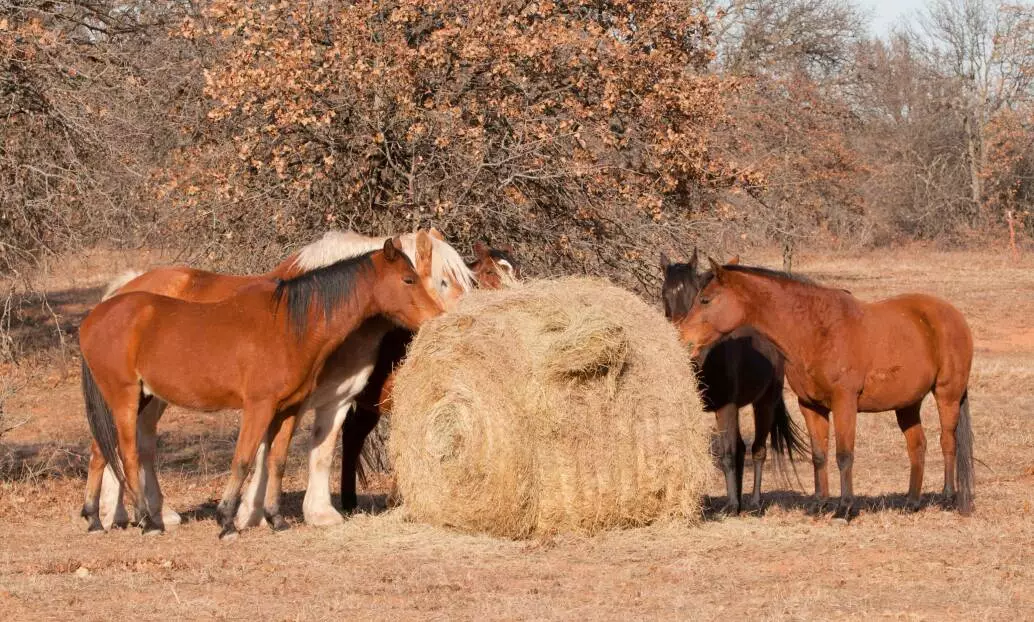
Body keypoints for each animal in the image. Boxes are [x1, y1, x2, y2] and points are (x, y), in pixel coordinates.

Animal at [94, 229, 473, 530]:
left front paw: (318, 513)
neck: (313, 313)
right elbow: (266, 454)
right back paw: (121, 514)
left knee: (135, 442)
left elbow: (320, 452)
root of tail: (123, 288)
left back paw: (148, 512)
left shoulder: (335, 401)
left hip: (152, 395)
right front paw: (251, 513)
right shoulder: (279, 401)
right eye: (441, 281)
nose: (456, 321)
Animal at [661, 249, 808, 515]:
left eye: (696, 294)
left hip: (765, 403)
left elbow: (727, 453)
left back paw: (753, 503)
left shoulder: (725, 408)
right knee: (742, 447)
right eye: (664, 293)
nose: (684, 344)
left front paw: (730, 506)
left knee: (757, 449)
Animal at [675, 259, 975, 519]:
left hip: (947, 395)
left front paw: (844, 508)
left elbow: (844, 455)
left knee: (947, 441)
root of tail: (953, 315)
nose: (682, 339)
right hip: (907, 404)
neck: (816, 330)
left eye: (705, 300)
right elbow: (819, 455)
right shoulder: (810, 406)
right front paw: (819, 504)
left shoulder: (844, 403)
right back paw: (911, 502)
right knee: (917, 446)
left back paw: (948, 498)